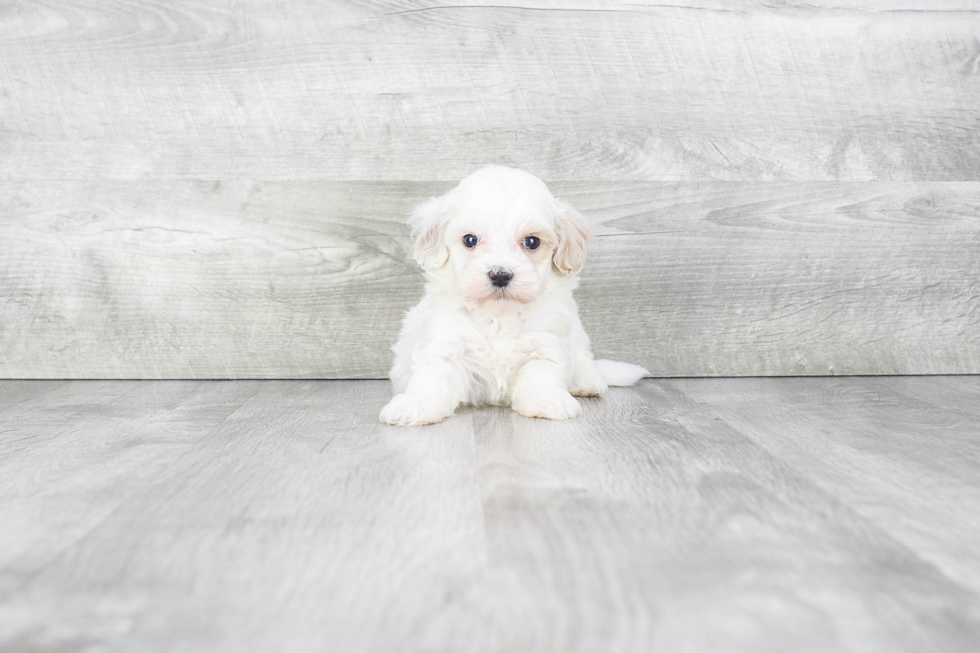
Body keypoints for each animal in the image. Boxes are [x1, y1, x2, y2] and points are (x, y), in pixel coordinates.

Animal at [382, 166, 652, 426]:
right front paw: (414, 406)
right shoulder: (448, 340)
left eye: (531, 242)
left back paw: (587, 383)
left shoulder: (544, 341)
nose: (500, 275)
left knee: (584, 359)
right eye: (470, 240)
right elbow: (432, 377)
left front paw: (548, 401)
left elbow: (541, 373)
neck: (499, 314)